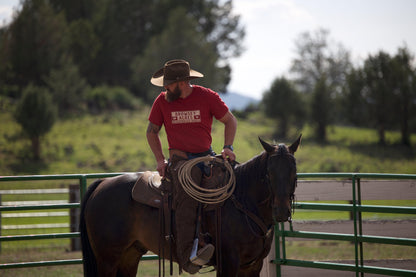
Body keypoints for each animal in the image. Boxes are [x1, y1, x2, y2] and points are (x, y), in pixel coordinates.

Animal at [79, 135, 300, 274]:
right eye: (269, 172)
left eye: (293, 171)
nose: (282, 211)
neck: (243, 203)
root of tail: (102, 183)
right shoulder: (228, 263)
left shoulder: (253, 266)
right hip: (107, 259)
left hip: (130, 256)